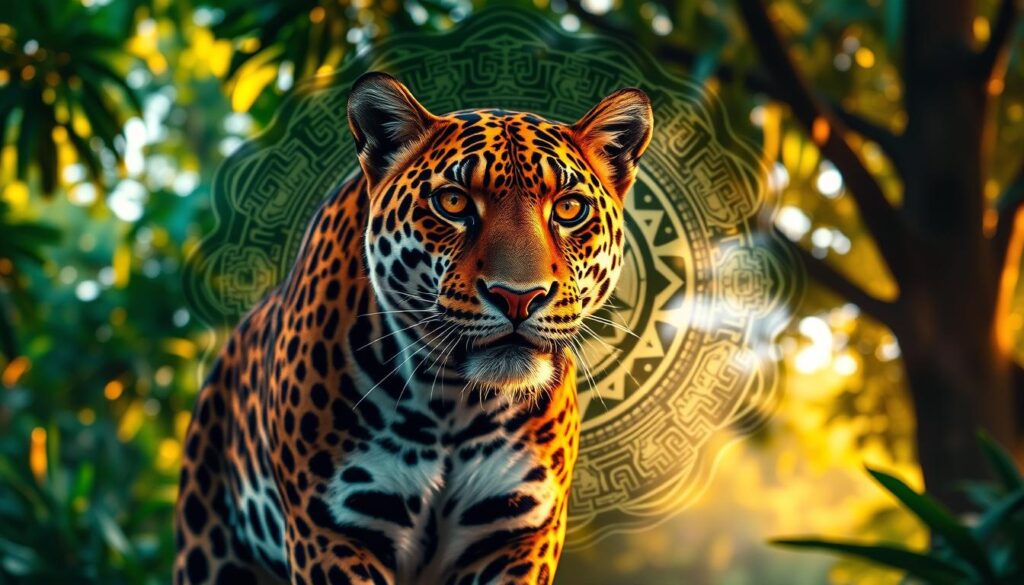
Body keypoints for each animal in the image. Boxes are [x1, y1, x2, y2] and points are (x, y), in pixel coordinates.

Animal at [174, 71, 652, 585]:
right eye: (453, 202)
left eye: (567, 209)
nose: (518, 297)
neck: (453, 404)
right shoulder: (331, 530)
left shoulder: (518, 531)